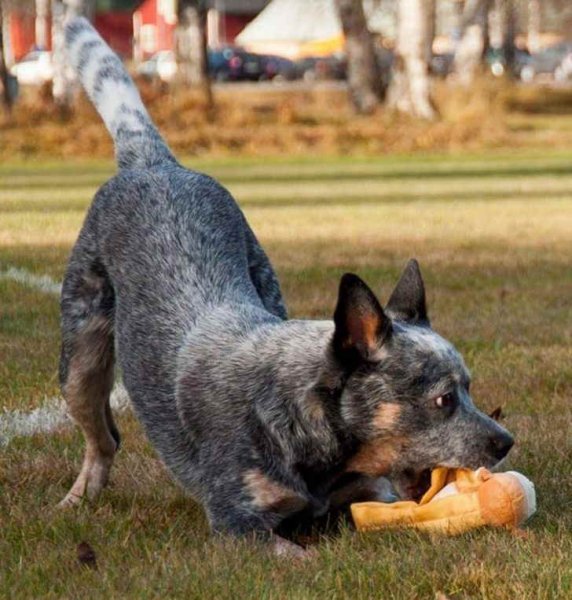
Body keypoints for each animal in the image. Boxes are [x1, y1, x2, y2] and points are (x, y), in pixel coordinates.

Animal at [58, 17, 512, 552]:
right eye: (444, 400)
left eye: (470, 388)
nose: (506, 441)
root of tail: (152, 162)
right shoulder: (238, 523)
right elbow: (297, 553)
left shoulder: (367, 492)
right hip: (78, 360)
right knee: (102, 438)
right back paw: (77, 499)